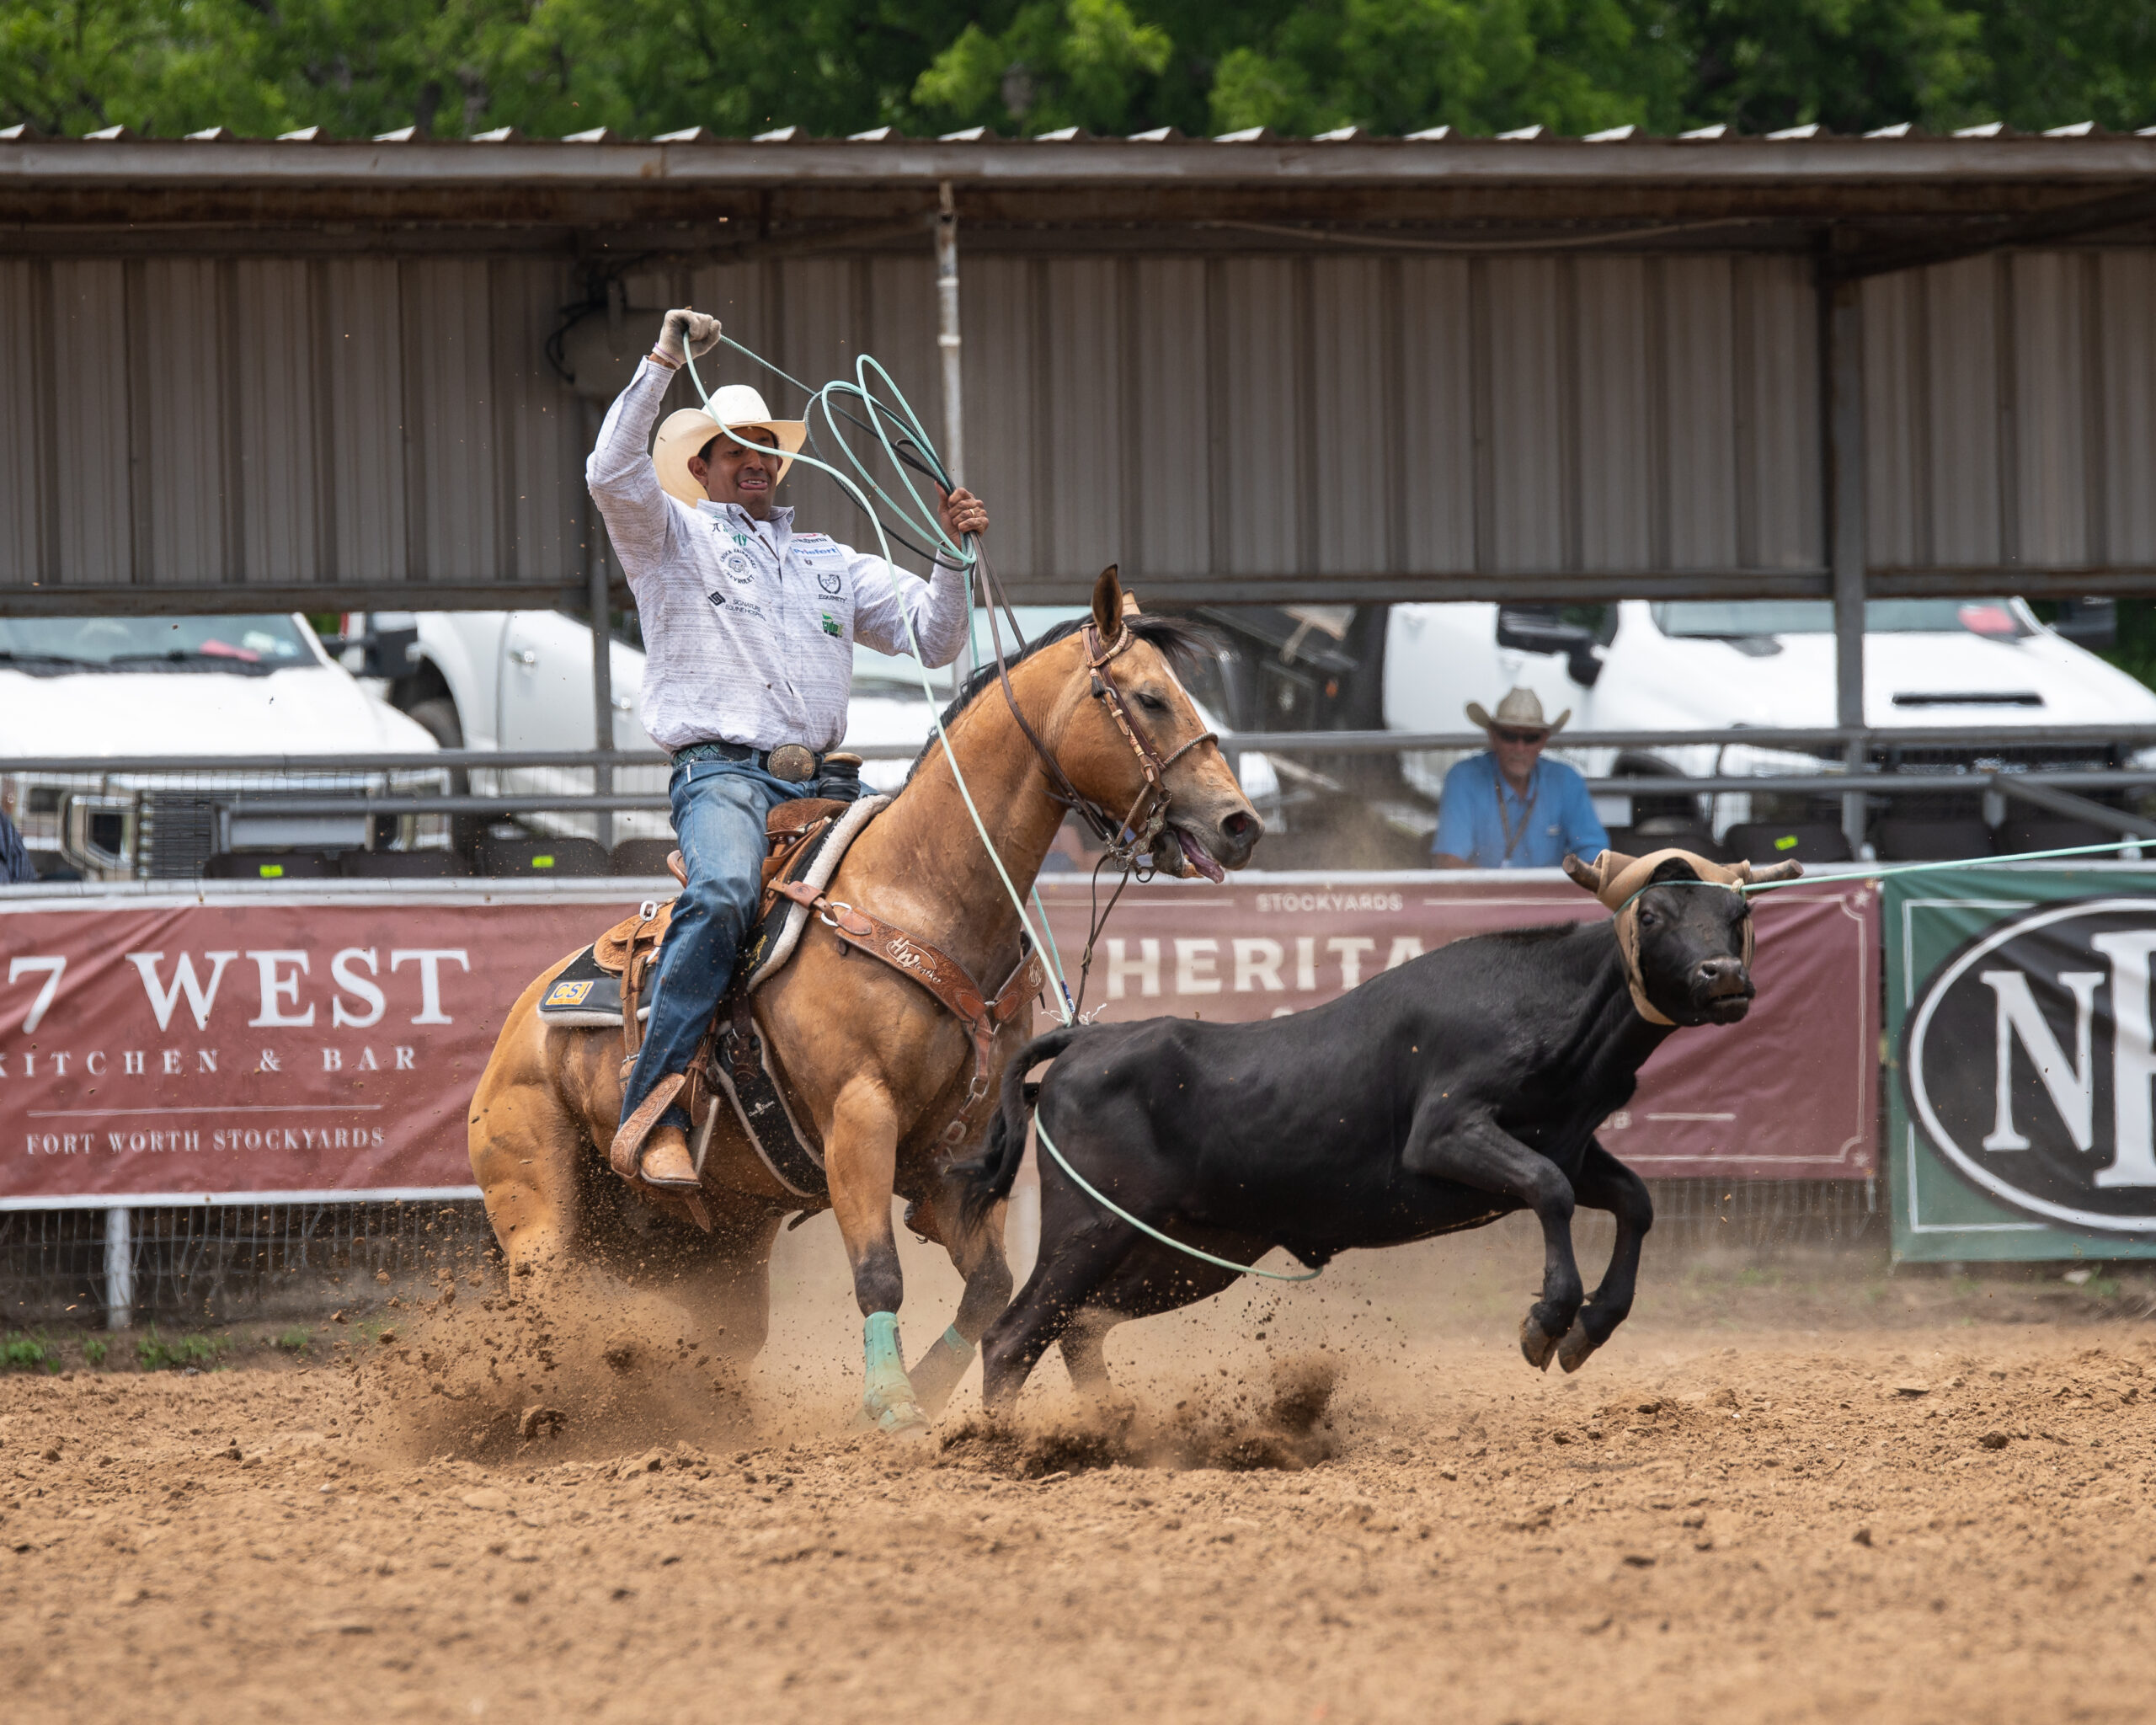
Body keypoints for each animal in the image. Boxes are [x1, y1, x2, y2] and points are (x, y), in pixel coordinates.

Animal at [463, 573, 1259, 1431]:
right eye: (1149, 698)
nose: (1240, 822)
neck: (923, 895)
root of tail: (521, 1023)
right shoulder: (858, 1118)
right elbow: (880, 1273)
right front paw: (893, 1405)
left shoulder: (954, 1154)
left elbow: (990, 1289)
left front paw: (927, 1391)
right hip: (538, 1211)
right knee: (549, 1309)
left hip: (716, 1250)